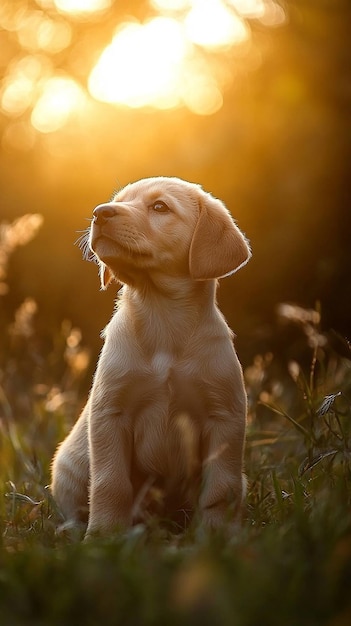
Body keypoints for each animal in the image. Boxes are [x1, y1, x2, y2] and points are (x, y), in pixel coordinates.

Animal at [51, 176, 252, 536]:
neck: (162, 315)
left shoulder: (224, 418)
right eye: (119, 201)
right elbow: (110, 483)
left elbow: (219, 489)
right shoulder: (110, 414)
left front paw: (217, 536)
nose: (100, 212)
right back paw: (72, 529)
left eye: (160, 207)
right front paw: (103, 536)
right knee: (74, 504)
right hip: (68, 465)